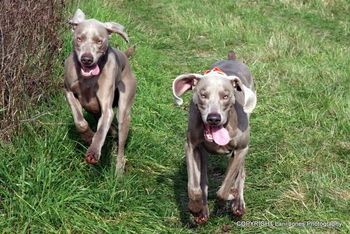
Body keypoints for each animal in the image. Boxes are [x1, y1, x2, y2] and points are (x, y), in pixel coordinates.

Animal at [63, 9, 136, 172]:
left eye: (99, 41)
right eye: (79, 38)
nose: (87, 59)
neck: (87, 78)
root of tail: (125, 56)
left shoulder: (107, 108)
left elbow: (101, 130)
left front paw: (93, 151)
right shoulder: (68, 91)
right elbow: (80, 122)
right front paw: (88, 136)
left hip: (125, 108)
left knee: (121, 140)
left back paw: (119, 168)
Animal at [172, 52, 258, 224]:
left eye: (226, 96)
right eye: (203, 94)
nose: (213, 118)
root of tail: (232, 58)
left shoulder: (241, 149)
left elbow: (224, 189)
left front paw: (231, 195)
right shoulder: (191, 146)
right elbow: (194, 185)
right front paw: (196, 207)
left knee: (240, 172)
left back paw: (238, 203)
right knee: (203, 179)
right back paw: (203, 209)